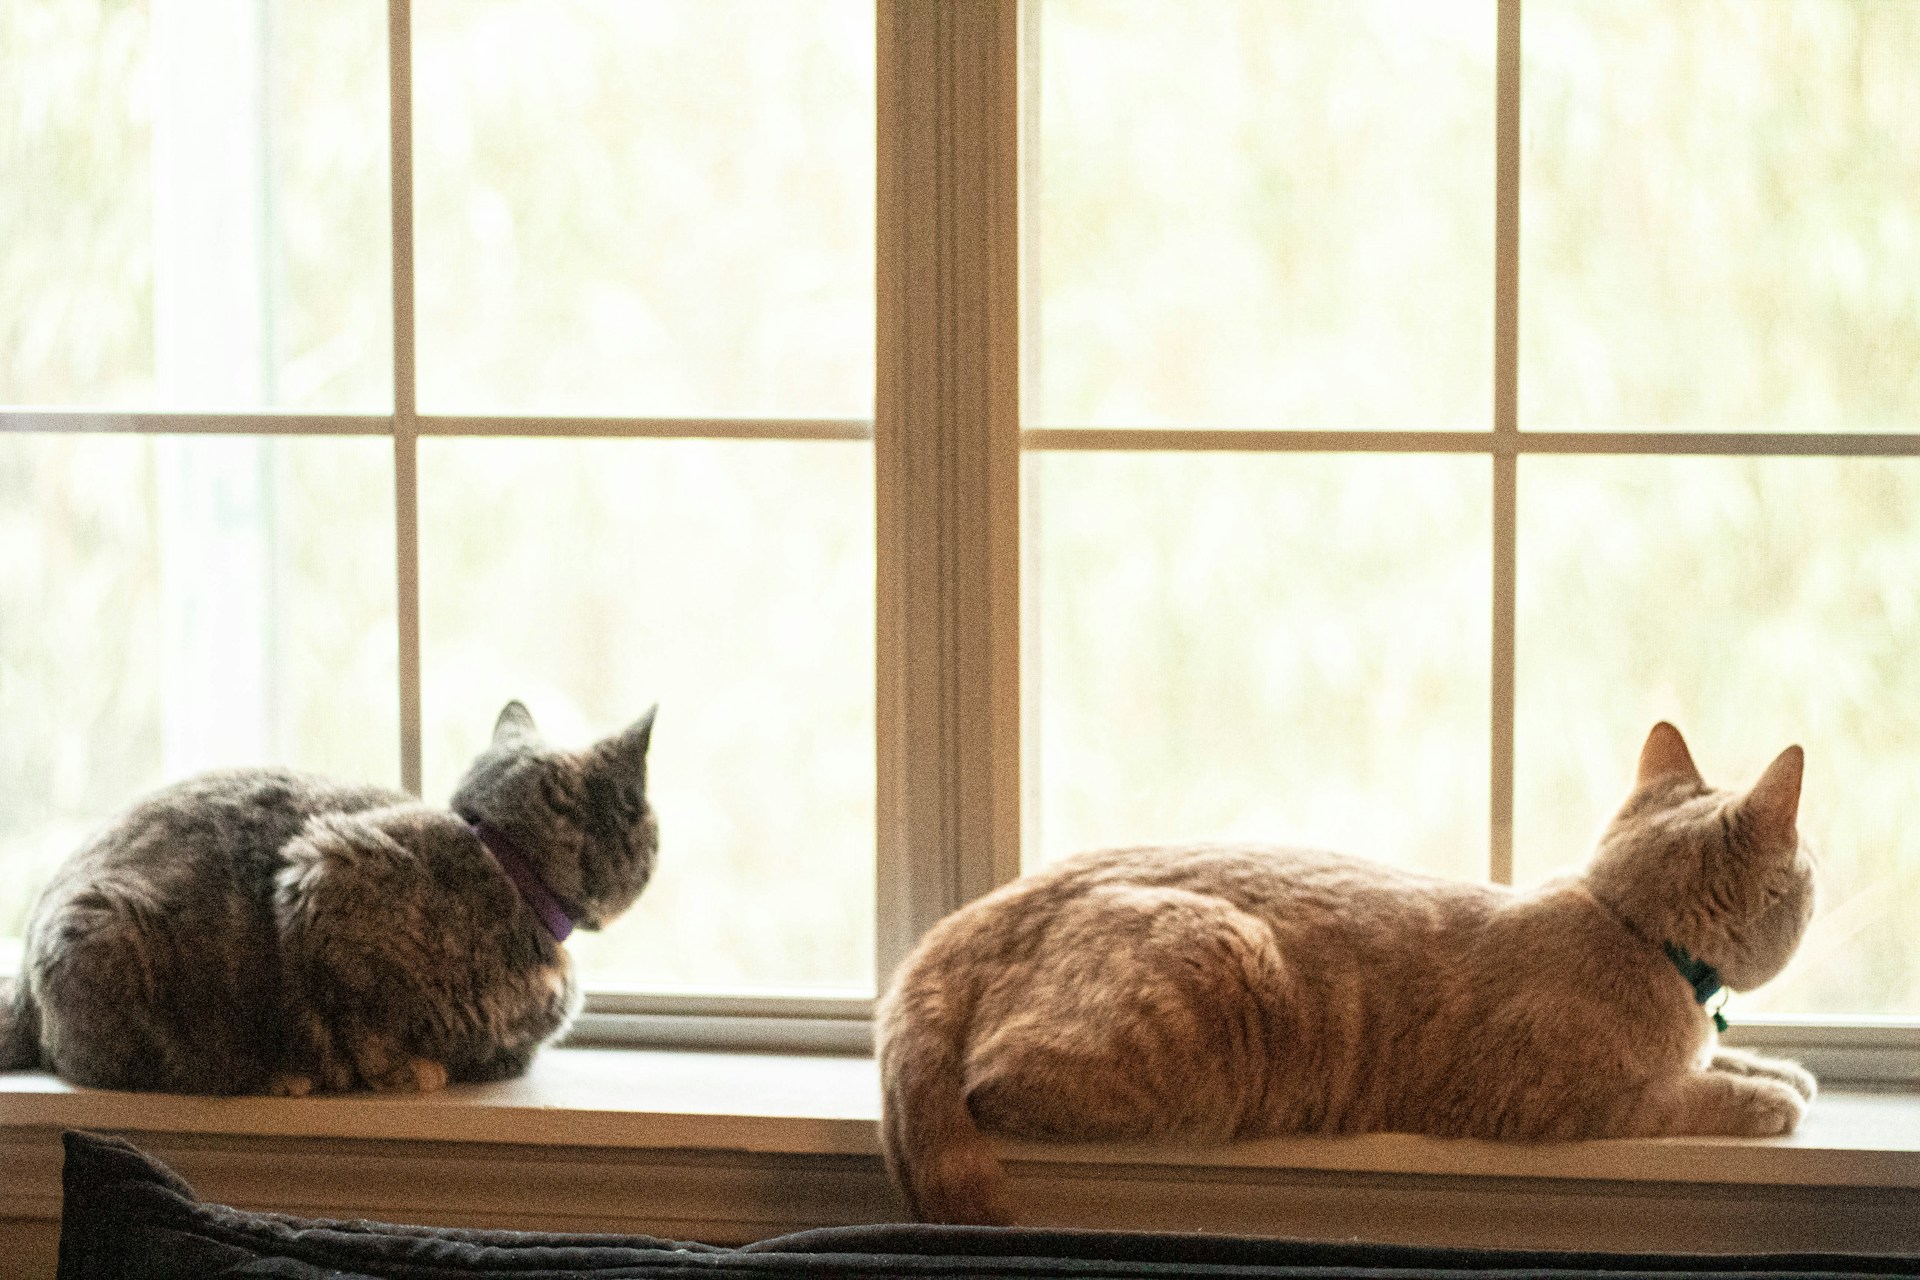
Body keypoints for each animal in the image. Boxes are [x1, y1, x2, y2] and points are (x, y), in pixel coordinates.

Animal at [0, 694, 656, 1097]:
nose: (656, 843)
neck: (505, 867)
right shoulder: (320, 872)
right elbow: (360, 1022)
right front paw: (405, 1071)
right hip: (109, 932)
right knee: (135, 1065)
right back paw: (272, 1076)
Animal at [879, 725, 1812, 1228]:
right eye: (1808, 874)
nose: (1816, 879)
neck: (1630, 927)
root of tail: (974, 919)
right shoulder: (1556, 1102)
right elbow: (1683, 1095)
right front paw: (1764, 1097)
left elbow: (1718, 1058)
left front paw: (1775, 1067)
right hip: (1210, 973)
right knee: (990, 1086)